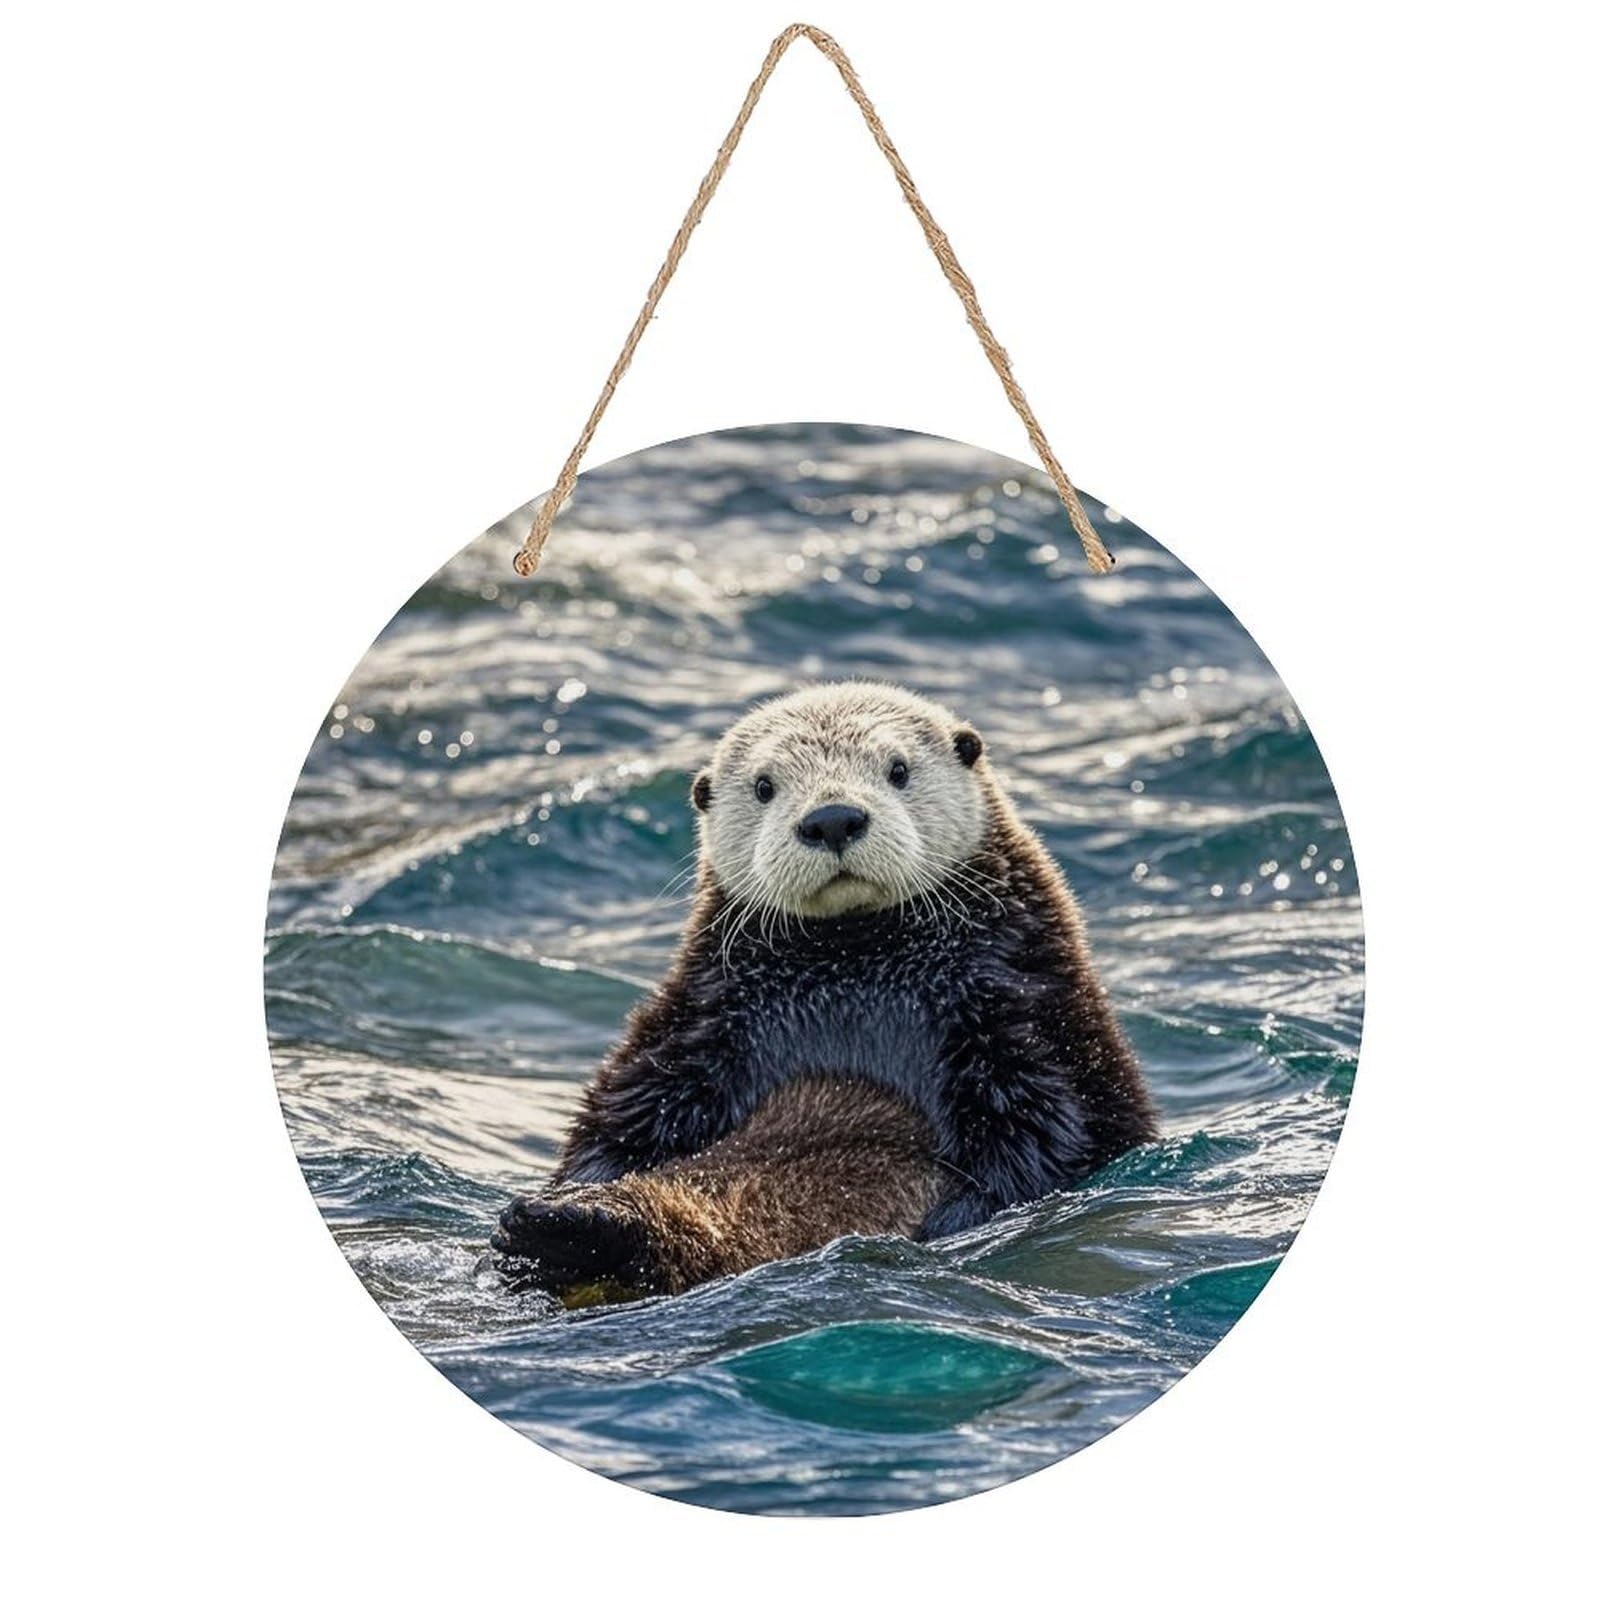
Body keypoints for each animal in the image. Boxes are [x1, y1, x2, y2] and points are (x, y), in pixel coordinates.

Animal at [492, 682, 1156, 1301]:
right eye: (764, 786)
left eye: (898, 769)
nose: (832, 818)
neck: (856, 963)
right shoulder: (696, 1023)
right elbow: (621, 1118)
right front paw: (565, 1196)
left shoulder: (1021, 1013)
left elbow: (1044, 1134)